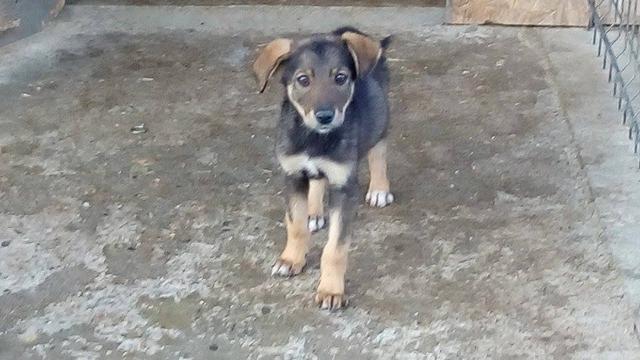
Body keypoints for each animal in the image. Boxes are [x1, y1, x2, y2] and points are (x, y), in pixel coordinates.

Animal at [252, 27, 392, 310]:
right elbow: (295, 226)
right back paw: (314, 211)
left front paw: (331, 290)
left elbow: (335, 249)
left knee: (378, 151)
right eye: (303, 80)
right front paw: (291, 260)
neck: (314, 139)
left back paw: (379, 189)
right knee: (317, 180)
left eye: (340, 78)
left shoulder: (343, 186)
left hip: (380, 117)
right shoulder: (293, 175)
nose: (325, 116)